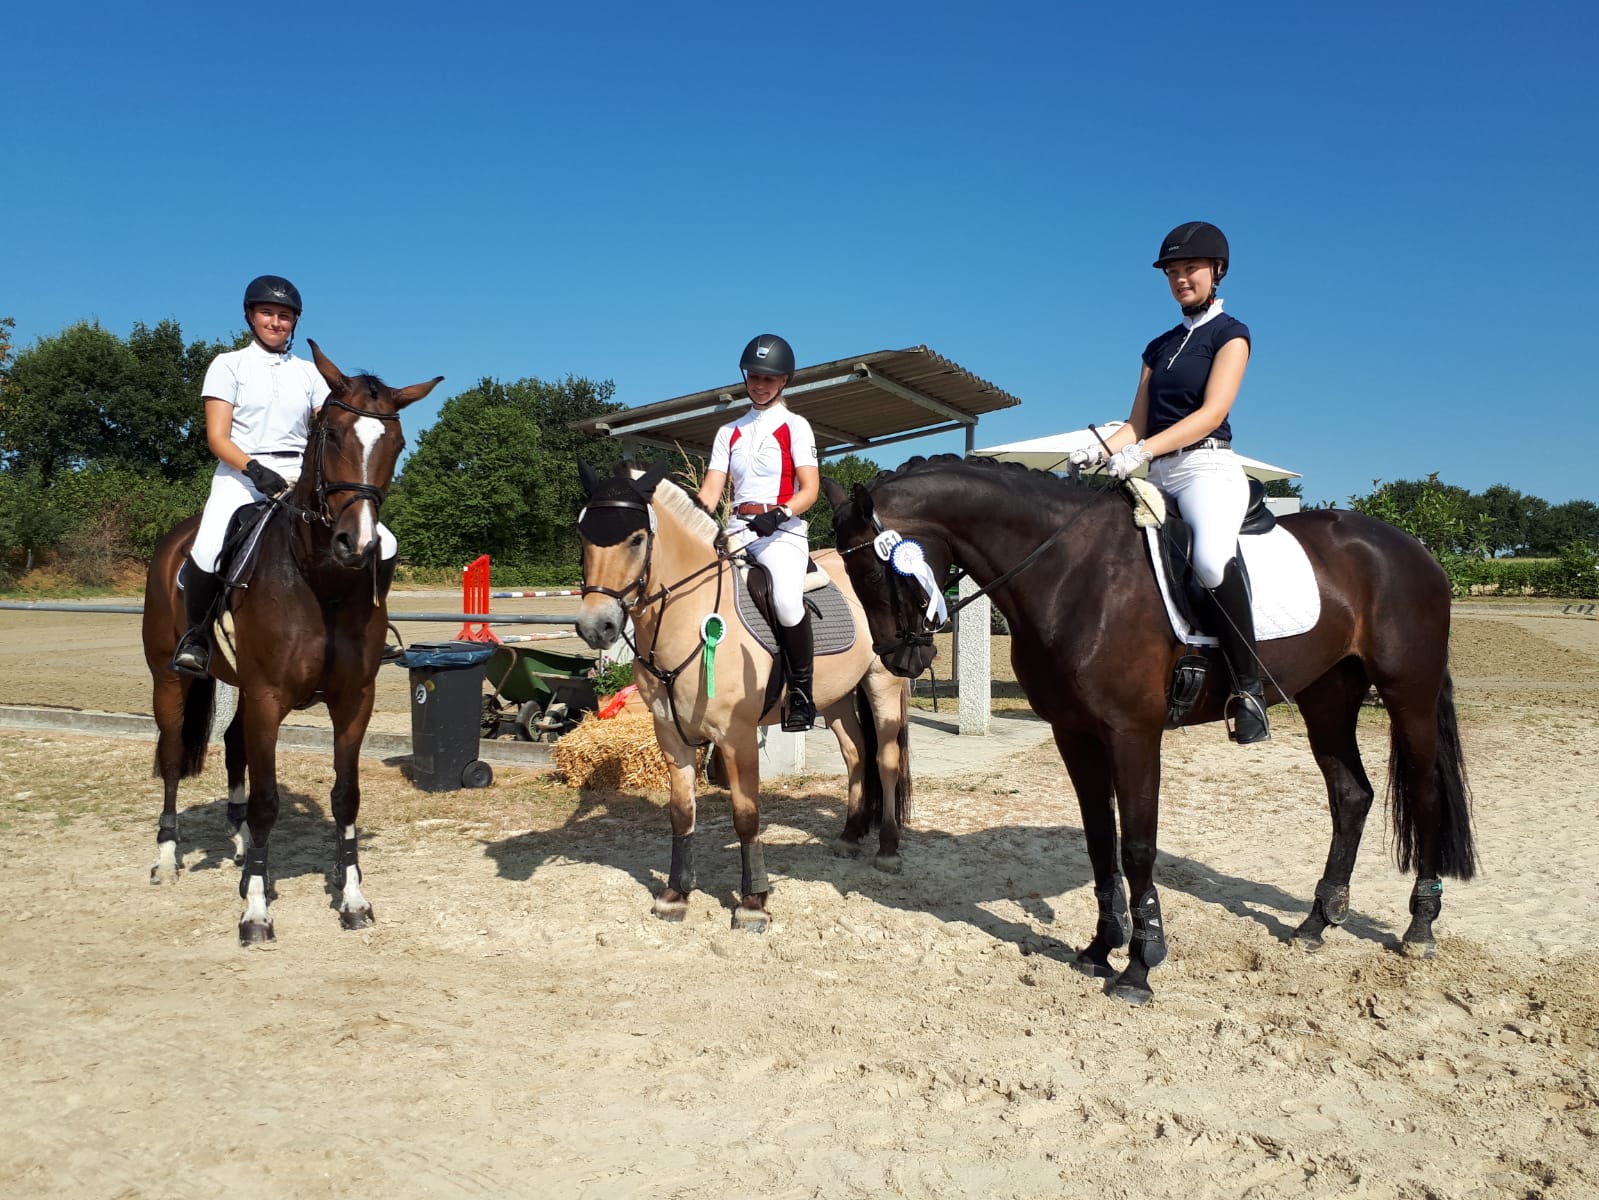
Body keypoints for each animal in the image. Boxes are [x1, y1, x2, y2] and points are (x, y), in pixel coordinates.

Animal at [141, 340, 442, 944]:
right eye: (331, 434)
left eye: (396, 444)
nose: (358, 544)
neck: (320, 580)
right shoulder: (268, 697)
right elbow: (266, 802)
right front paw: (256, 912)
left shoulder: (353, 701)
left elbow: (345, 797)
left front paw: (352, 899)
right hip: (170, 680)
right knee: (171, 757)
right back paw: (167, 858)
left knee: (234, 748)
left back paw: (239, 850)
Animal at [572, 460, 912, 931]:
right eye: (583, 535)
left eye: (637, 539)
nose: (596, 626)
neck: (691, 616)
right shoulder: (670, 735)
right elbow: (681, 813)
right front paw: (675, 895)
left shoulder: (737, 737)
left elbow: (746, 815)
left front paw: (753, 902)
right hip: (837, 698)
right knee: (856, 754)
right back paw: (849, 836)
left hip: (882, 684)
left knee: (885, 758)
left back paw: (888, 850)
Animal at [824, 454, 1476, 1004]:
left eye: (874, 574)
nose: (899, 659)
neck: (1072, 572)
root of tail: (1410, 546)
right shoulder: (1074, 733)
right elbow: (1099, 839)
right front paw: (1098, 949)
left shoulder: (1133, 734)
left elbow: (1138, 844)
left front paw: (1140, 965)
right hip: (1328, 695)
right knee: (1351, 795)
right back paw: (1317, 921)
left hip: (1408, 695)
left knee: (1425, 795)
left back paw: (1420, 927)